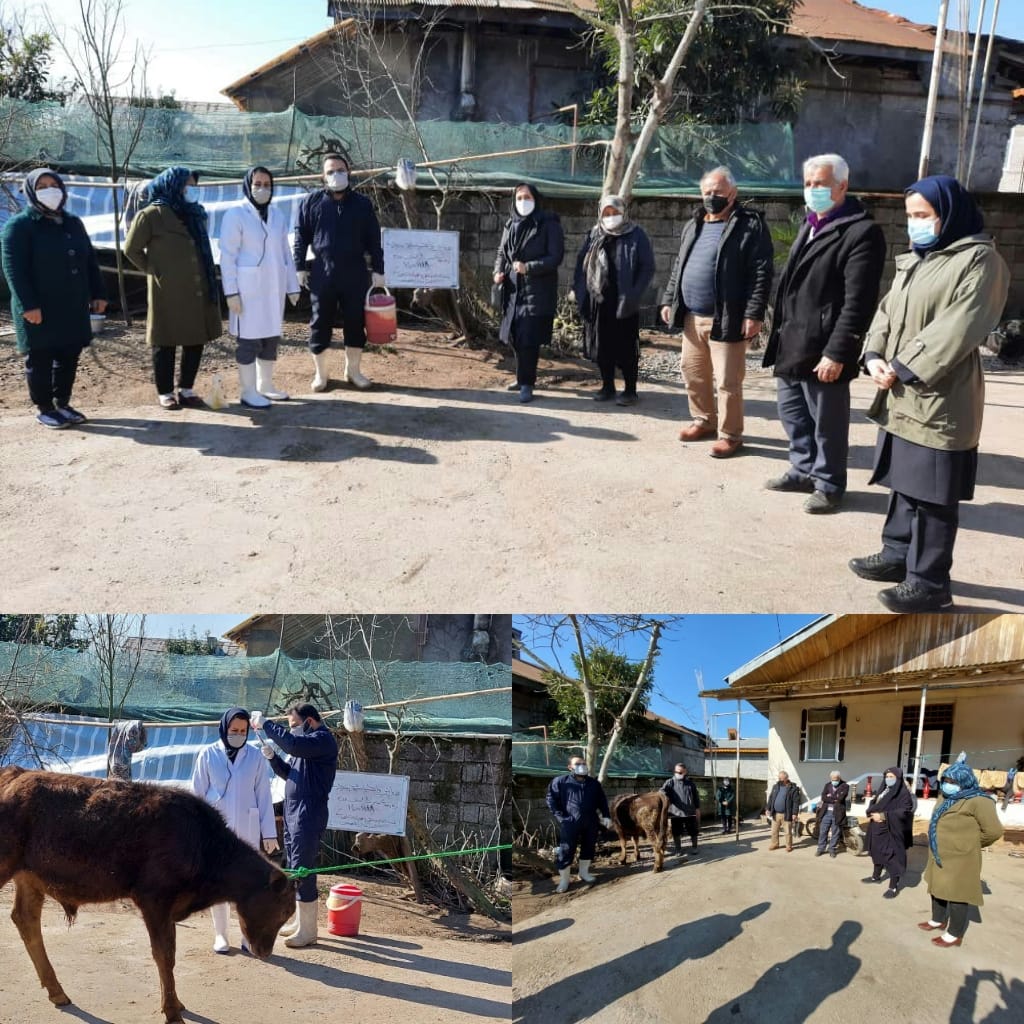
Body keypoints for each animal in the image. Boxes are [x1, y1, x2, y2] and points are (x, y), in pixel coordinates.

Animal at [1, 770, 296, 1024]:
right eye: (284, 911)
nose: (265, 952)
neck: (203, 843)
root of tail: (14, 774)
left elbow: (170, 953)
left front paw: (177, 1004)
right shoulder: (154, 901)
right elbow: (164, 955)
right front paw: (172, 1012)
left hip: (29, 877)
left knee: (26, 920)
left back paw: (58, 992)